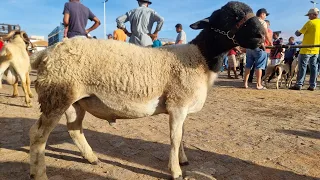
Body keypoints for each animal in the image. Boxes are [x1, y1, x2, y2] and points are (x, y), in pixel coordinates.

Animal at [29, 1, 264, 180]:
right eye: (230, 16)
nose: (261, 35)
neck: (200, 58)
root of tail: (46, 54)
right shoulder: (177, 105)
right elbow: (175, 137)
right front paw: (176, 171)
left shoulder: (182, 107)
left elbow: (182, 135)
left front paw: (183, 160)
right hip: (56, 97)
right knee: (38, 135)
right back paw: (39, 174)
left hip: (75, 101)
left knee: (74, 129)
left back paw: (92, 158)